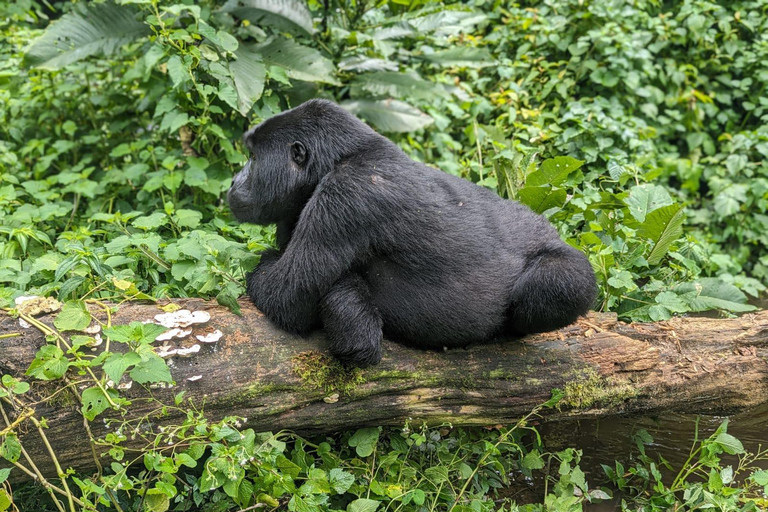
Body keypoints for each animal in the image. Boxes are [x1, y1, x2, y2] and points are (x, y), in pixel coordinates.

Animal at [225, 98, 596, 366]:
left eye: (253, 158)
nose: (232, 182)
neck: (341, 157)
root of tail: (548, 231)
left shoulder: (347, 195)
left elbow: (284, 295)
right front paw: (352, 312)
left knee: (555, 281)